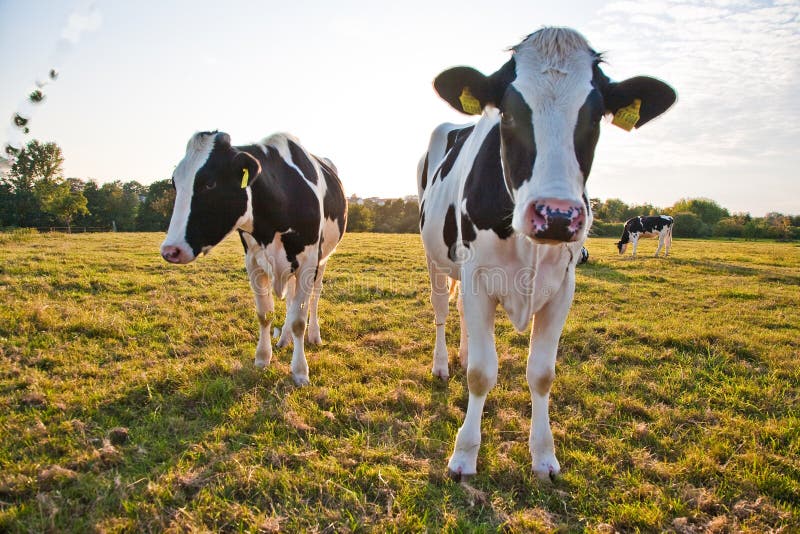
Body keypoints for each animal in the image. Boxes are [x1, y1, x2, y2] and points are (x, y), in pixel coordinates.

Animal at [161, 132, 346, 388]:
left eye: (209, 183)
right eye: (175, 183)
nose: (170, 250)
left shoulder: (309, 262)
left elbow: (299, 319)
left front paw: (300, 371)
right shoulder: (253, 263)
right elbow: (265, 314)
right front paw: (262, 358)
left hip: (323, 259)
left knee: (314, 299)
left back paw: (314, 335)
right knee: (290, 300)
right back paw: (284, 339)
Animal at [418, 27, 676, 484]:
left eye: (595, 116)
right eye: (509, 114)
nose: (556, 214)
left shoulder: (562, 290)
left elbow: (541, 374)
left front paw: (543, 456)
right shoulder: (479, 278)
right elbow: (482, 373)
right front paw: (465, 455)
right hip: (437, 263)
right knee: (443, 313)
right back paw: (444, 364)